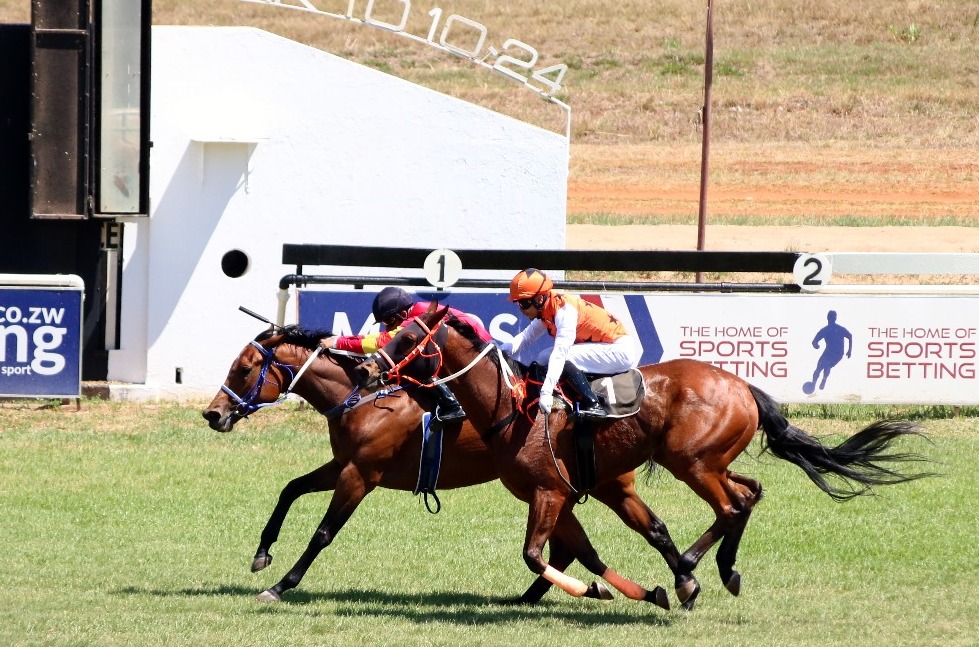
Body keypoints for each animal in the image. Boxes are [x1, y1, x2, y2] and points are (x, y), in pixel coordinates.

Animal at [203, 325, 673, 608]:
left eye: (243, 369)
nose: (213, 414)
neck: (365, 397)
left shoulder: (361, 475)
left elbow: (322, 533)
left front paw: (282, 584)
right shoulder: (344, 465)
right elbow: (291, 488)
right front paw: (262, 553)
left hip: (587, 487)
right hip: (574, 490)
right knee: (600, 540)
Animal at [353, 302, 933, 609]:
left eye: (407, 336)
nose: (366, 368)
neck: (511, 407)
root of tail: (743, 385)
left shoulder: (549, 490)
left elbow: (538, 554)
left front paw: (605, 590)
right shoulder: (571, 492)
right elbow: (585, 550)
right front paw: (634, 589)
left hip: (692, 463)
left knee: (730, 506)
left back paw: (694, 570)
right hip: (714, 461)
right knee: (749, 494)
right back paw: (718, 571)